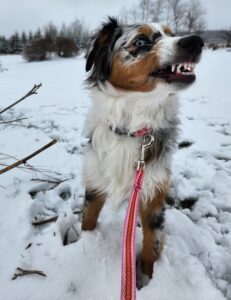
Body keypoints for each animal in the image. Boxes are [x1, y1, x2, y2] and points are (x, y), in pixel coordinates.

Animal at [81, 17, 202, 288]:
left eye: (172, 34)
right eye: (140, 42)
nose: (196, 41)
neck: (131, 129)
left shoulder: (153, 195)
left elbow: (151, 244)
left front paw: (145, 280)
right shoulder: (95, 182)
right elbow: (88, 220)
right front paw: (84, 244)